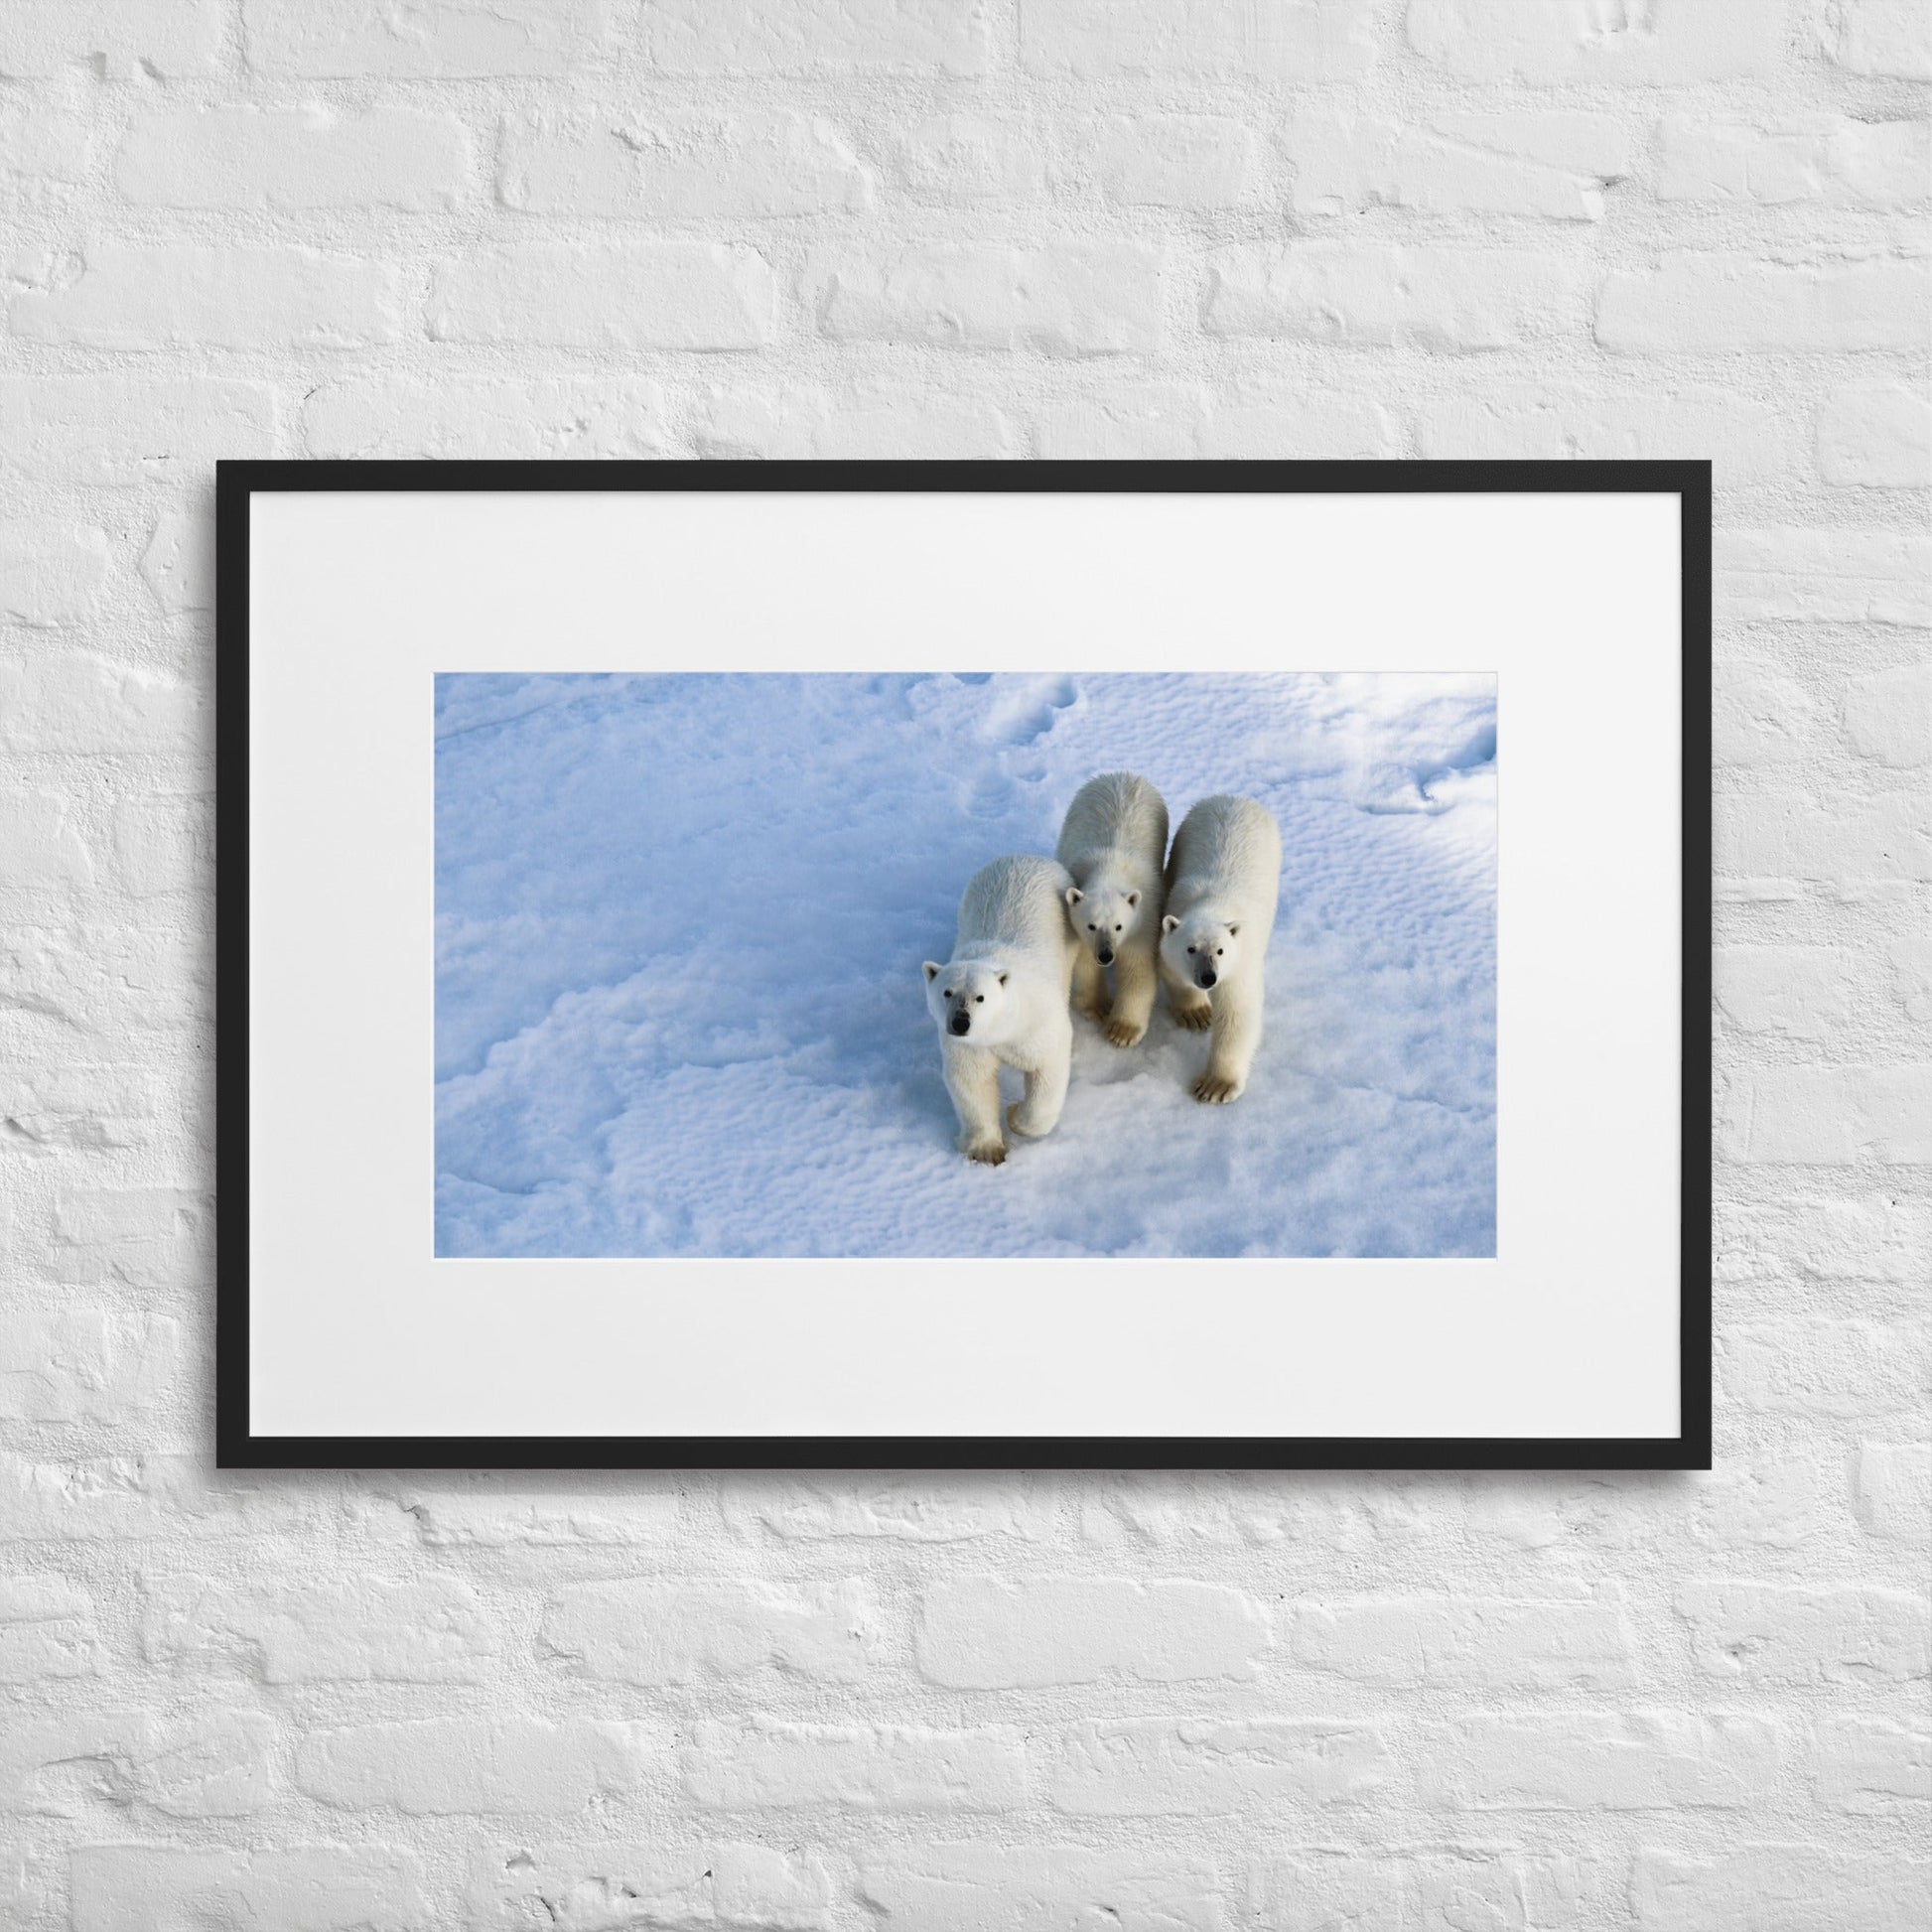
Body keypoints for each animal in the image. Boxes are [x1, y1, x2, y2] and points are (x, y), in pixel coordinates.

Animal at [923, 858, 1081, 1159]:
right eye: (947, 992)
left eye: (980, 997)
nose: (960, 1022)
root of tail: (1024, 857)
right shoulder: (969, 1045)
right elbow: (973, 1082)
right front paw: (987, 1151)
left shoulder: (1037, 1024)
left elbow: (1047, 1067)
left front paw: (1015, 1116)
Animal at [1050, 768, 1167, 1050]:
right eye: (1091, 925)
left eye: (1119, 926)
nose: (1105, 955)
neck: (1109, 867)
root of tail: (1121, 774)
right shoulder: (1077, 925)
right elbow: (1083, 963)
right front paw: (1099, 1007)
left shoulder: (1144, 918)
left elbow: (1138, 968)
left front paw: (1121, 1032)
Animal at [1159, 795, 1283, 1105]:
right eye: (1190, 948)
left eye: (1221, 950)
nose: (1208, 977)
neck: (1212, 902)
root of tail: (1234, 798)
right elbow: (1172, 972)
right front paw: (1197, 1014)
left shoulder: (1240, 962)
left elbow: (1237, 1013)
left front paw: (1215, 1086)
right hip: (1184, 835)